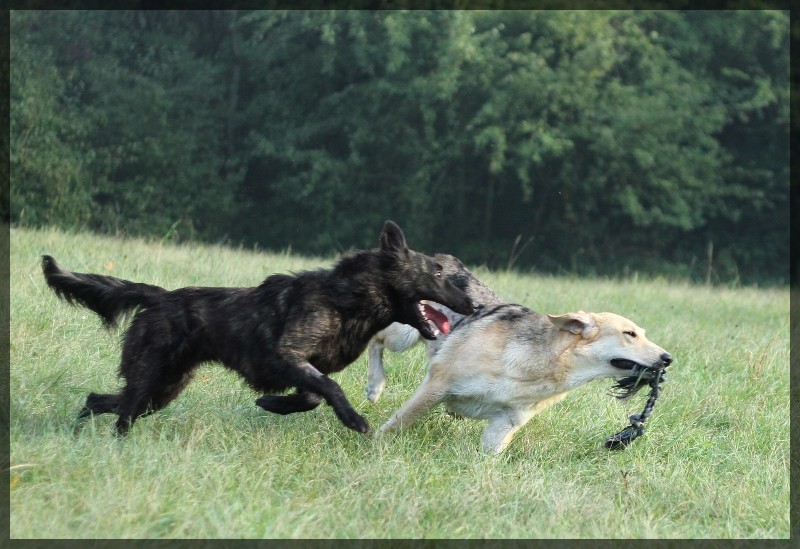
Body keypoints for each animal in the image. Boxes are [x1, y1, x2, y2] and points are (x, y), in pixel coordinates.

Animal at [43, 220, 476, 434]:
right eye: (437, 271)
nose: (472, 304)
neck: (348, 298)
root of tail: (160, 297)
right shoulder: (286, 354)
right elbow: (330, 389)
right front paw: (354, 420)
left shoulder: (303, 368)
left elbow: (314, 394)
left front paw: (273, 404)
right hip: (151, 378)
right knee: (122, 413)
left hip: (163, 388)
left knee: (101, 399)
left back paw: (82, 427)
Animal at [378, 304, 672, 454]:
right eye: (629, 334)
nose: (669, 358)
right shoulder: (437, 385)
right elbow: (395, 425)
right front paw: (374, 447)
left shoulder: (504, 425)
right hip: (401, 337)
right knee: (376, 342)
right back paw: (375, 385)